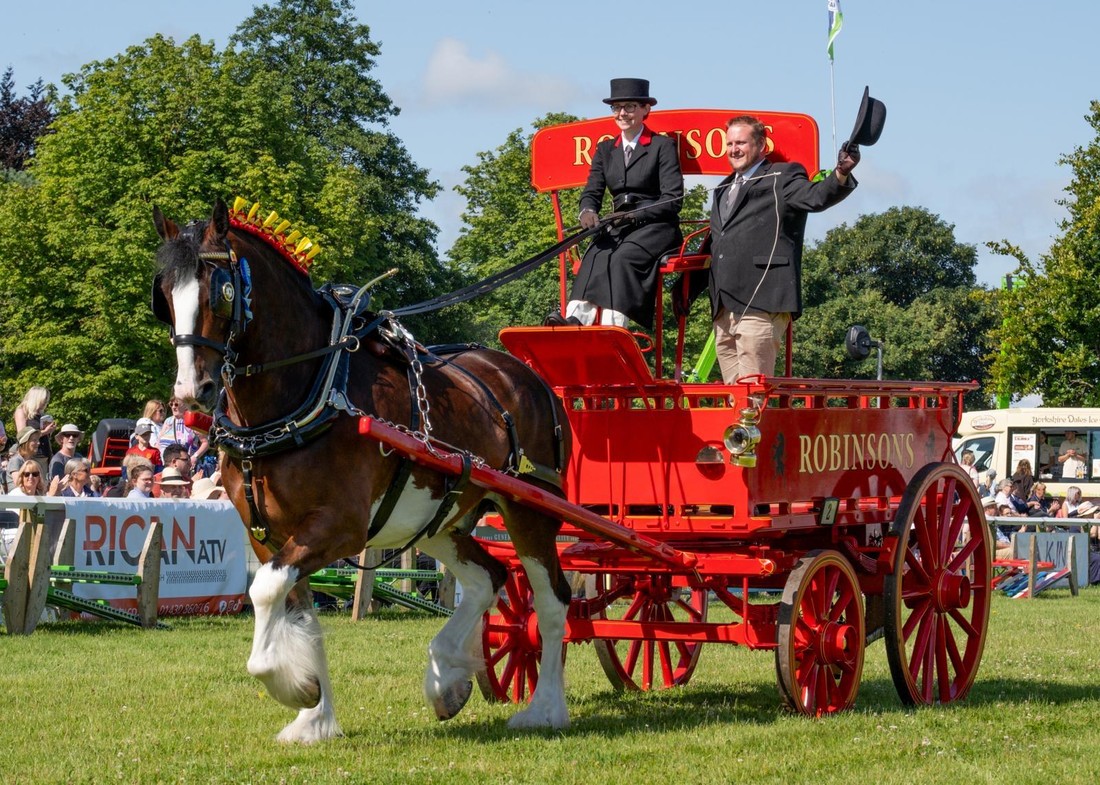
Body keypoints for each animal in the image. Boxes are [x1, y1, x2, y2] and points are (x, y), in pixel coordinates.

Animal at [154, 196, 576, 738]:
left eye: (222, 293)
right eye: (165, 296)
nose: (191, 392)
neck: (311, 390)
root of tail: (530, 377)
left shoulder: (340, 527)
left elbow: (265, 591)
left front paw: (294, 687)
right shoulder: (266, 534)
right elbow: (297, 611)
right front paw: (314, 716)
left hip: (530, 511)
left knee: (551, 602)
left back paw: (545, 708)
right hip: (439, 517)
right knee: (488, 577)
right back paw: (446, 679)